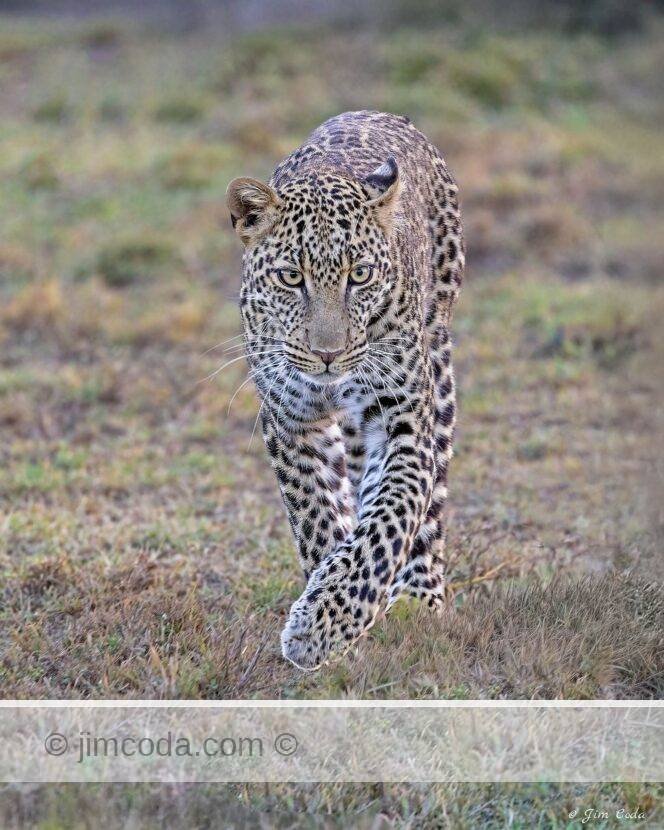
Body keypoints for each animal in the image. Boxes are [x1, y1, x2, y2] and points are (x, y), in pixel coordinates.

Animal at [226, 110, 464, 670]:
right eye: (291, 278)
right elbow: (317, 516)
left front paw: (321, 626)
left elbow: (389, 520)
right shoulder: (290, 422)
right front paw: (334, 620)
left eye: (360, 275)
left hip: (438, 359)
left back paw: (420, 598)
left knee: (428, 505)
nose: (328, 354)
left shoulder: (402, 423)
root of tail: (374, 112)